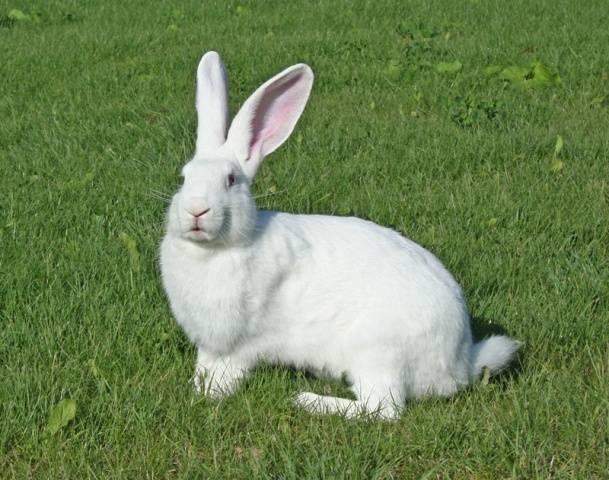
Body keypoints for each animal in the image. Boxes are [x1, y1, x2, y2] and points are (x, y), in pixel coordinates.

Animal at [160, 51, 516, 420]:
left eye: (231, 180)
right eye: (184, 177)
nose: (196, 211)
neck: (216, 249)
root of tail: (460, 362)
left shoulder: (236, 349)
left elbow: (226, 376)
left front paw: (210, 395)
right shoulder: (209, 348)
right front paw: (195, 388)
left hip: (377, 351)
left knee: (383, 409)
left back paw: (308, 400)